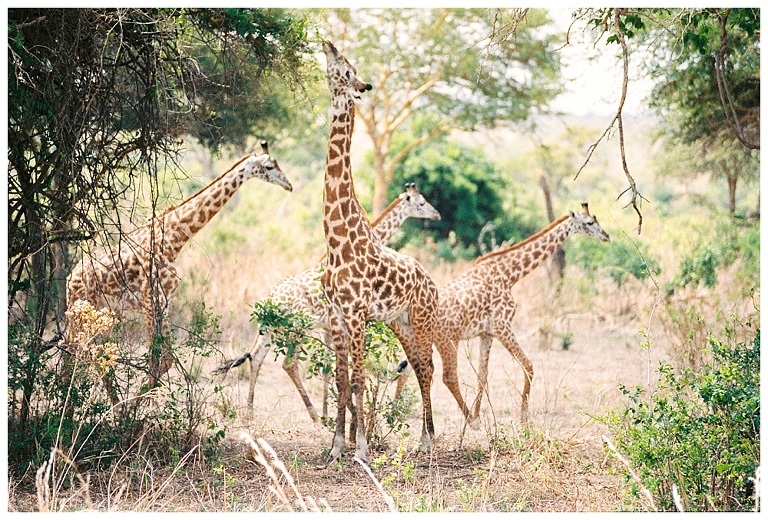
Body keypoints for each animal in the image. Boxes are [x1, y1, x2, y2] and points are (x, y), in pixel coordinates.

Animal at [66, 140, 292, 392]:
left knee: (79, 350)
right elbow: (159, 358)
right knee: (77, 349)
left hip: (97, 311)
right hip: (85, 308)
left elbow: (163, 359)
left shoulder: (164, 302)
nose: (289, 185)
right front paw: (143, 399)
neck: (172, 241)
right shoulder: (150, 300)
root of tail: (70, 279)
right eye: (270, 166)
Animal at [213, 183, 440, 422]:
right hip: (296, 329)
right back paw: (312, 413)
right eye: (422, 203)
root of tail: (270, 300)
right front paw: (330, 414)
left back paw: (249, 412)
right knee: (288, 363)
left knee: (255, 357)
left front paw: (330, 413)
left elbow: (328, 368)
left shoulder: (328, 328)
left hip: (271, 330)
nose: (437, 214)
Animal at [320, 41, 438, 464]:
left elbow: (357, 380)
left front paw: (361, 450)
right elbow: (342, 380)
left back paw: (428, 442)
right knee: (418, 366)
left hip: (421, 317)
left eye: (347, 69)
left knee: (428, 367)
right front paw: (335, 448)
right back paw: (423, 440)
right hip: (399, 322)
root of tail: (432, 282)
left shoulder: (356, 314)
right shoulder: (338, 316)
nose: (327, 44)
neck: (337, 239)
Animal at [392, 203, 608, 426]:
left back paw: (396, 413)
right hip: (447, 341)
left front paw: (479, 413)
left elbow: (482, 375)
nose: (606, 236)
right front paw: (523, 416)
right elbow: (528, 366)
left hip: (423, 341)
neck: (509, 274)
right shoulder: (502, 325)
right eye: (589, 222)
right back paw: (468, 421)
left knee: (408, 370)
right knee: (447, 377)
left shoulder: (487, 333)